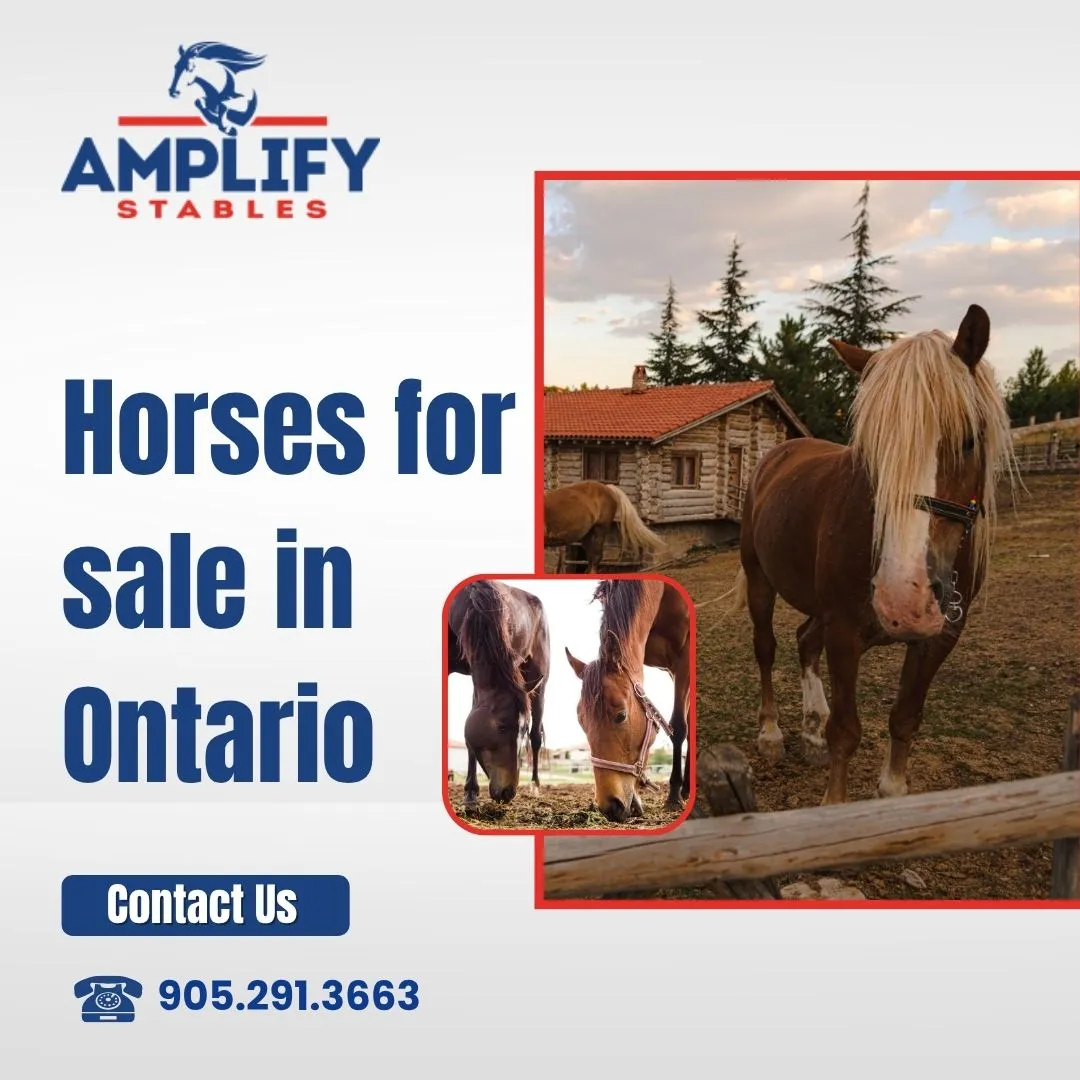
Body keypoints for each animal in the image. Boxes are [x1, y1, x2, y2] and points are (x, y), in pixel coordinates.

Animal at [447, 580, 549, 811]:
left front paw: (471, 794)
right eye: (502, 727)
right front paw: (470, 794)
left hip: (539, 684)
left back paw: (535, 786)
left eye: (522, 730)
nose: (507, 793)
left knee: (536, 738)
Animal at [565, 579, 691, 821]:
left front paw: (673, 796)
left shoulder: (683, 660)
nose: (610, 807)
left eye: (621, 715)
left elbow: (678, 728)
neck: (661, 594)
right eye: (581, 722)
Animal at [732, 304, 1016, 805]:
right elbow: (847, 730)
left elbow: (904, 718)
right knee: (767, 647)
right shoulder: (845, 632)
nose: (904, 598)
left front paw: (892, 788)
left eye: (968, 439)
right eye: (872, 451)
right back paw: (773, 734)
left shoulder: (939, 638)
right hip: (761, 579)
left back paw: (811, 731)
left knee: (805, 640)